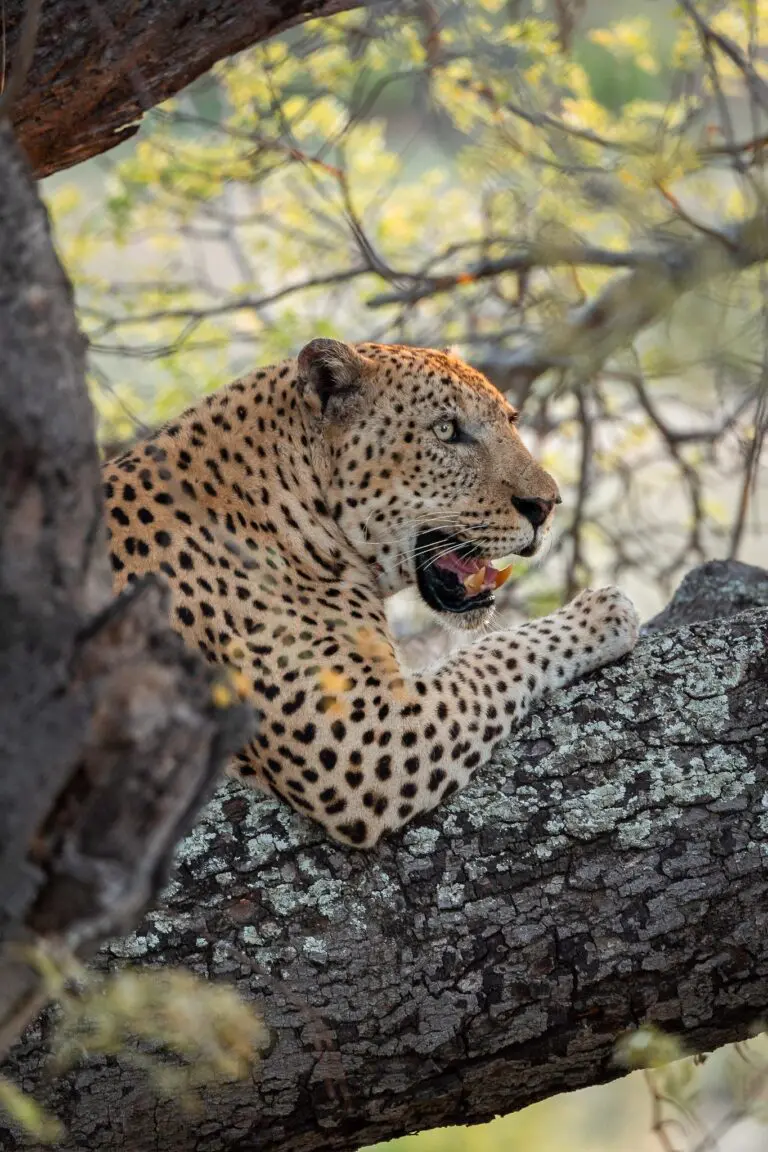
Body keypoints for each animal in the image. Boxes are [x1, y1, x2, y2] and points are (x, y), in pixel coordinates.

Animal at [103, 339, 639, 848]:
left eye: (510, 420)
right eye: (447, 431)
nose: (547, 505)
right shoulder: (364, 737)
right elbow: (489, 657)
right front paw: (600, 613)